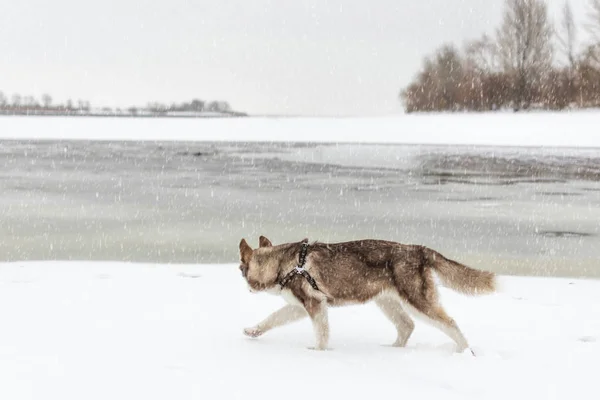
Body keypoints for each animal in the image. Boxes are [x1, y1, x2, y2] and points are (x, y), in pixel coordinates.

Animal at [239, 236, 496, 352]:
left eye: (240, 268)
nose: (246, 287)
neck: (285, 264)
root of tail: (419, 249)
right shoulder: (300, 306)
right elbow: (272, 318)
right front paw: (253, 330)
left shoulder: (314, 305)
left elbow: (321, 334)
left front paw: (318, 352)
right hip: (386, 302)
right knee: (406, 325)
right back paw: (392, 349)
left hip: (417, 301)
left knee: (450, 322)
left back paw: (464, 351)